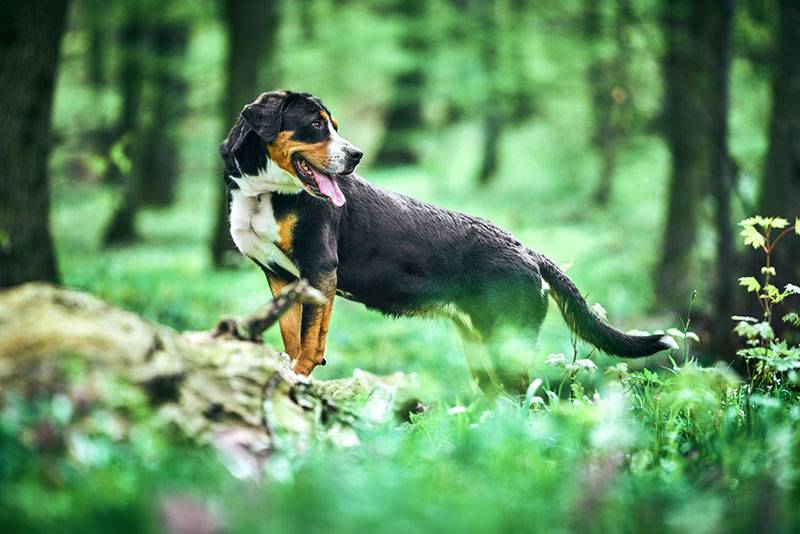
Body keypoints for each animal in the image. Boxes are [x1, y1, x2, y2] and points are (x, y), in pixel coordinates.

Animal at [220, 91, 676, 394]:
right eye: (315, 124)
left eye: (332, 125)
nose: (357, 155)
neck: (264, 193)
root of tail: (528, 251)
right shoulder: (281, 277)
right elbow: (292, 334)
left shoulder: (320, 268)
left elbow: (310, 342)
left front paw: (296, 376)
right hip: (481, 350)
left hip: (506, 344)